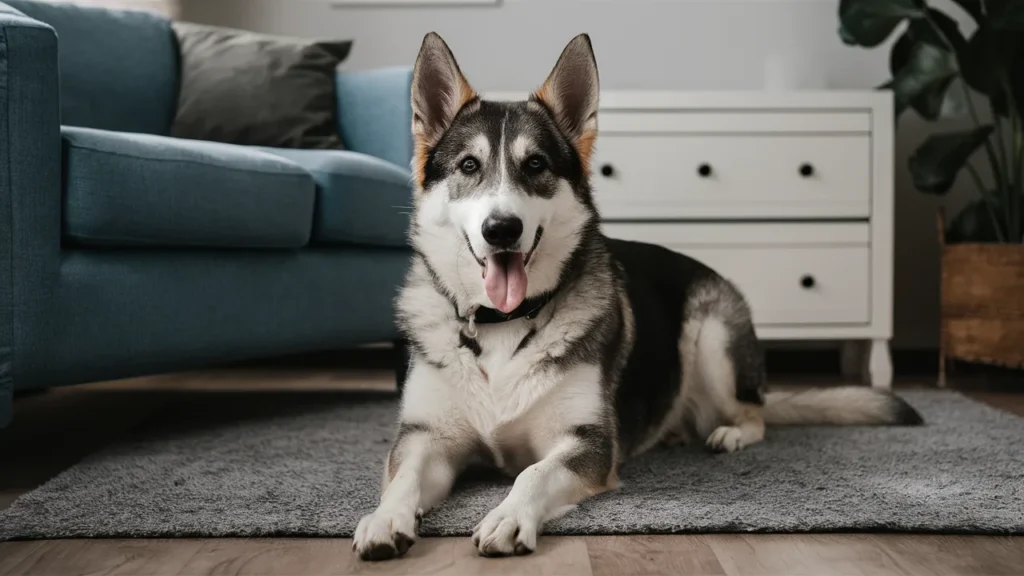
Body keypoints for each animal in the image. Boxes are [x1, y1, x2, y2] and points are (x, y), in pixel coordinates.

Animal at [354, 32, 929, 561]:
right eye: (469, 167)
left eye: (536, 166)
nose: (502, 229)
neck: (503, 325)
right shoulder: (426, 437)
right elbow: (403, 477)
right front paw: (385, 519)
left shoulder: (587, 444)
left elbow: (532, 474)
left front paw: (508, 516)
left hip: (711, 337)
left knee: (754, 413)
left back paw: (728, 433)